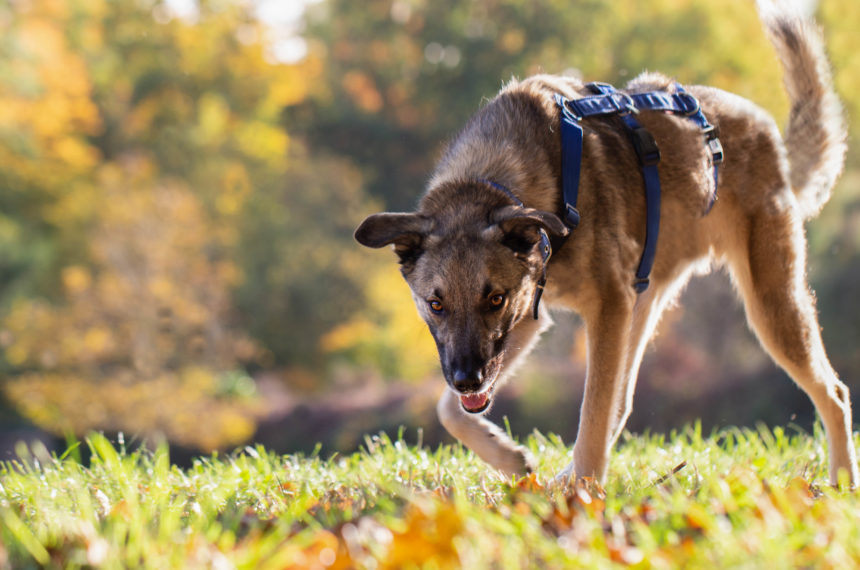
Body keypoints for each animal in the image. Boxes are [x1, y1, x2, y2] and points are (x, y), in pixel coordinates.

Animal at [352, 2, 856, 486]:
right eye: (435, 305)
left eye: (494, 298)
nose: (466, 379)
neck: (499, 182)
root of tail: (766, 130)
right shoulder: (531, 320)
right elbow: (448, 410)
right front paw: (511, 459)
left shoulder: (597, 309)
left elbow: (590, 414)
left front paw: (584, 495)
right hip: (642, 307)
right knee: (623, 402)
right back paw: (560, 477)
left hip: (770, 305)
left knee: (834, 392)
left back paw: (841, 482)